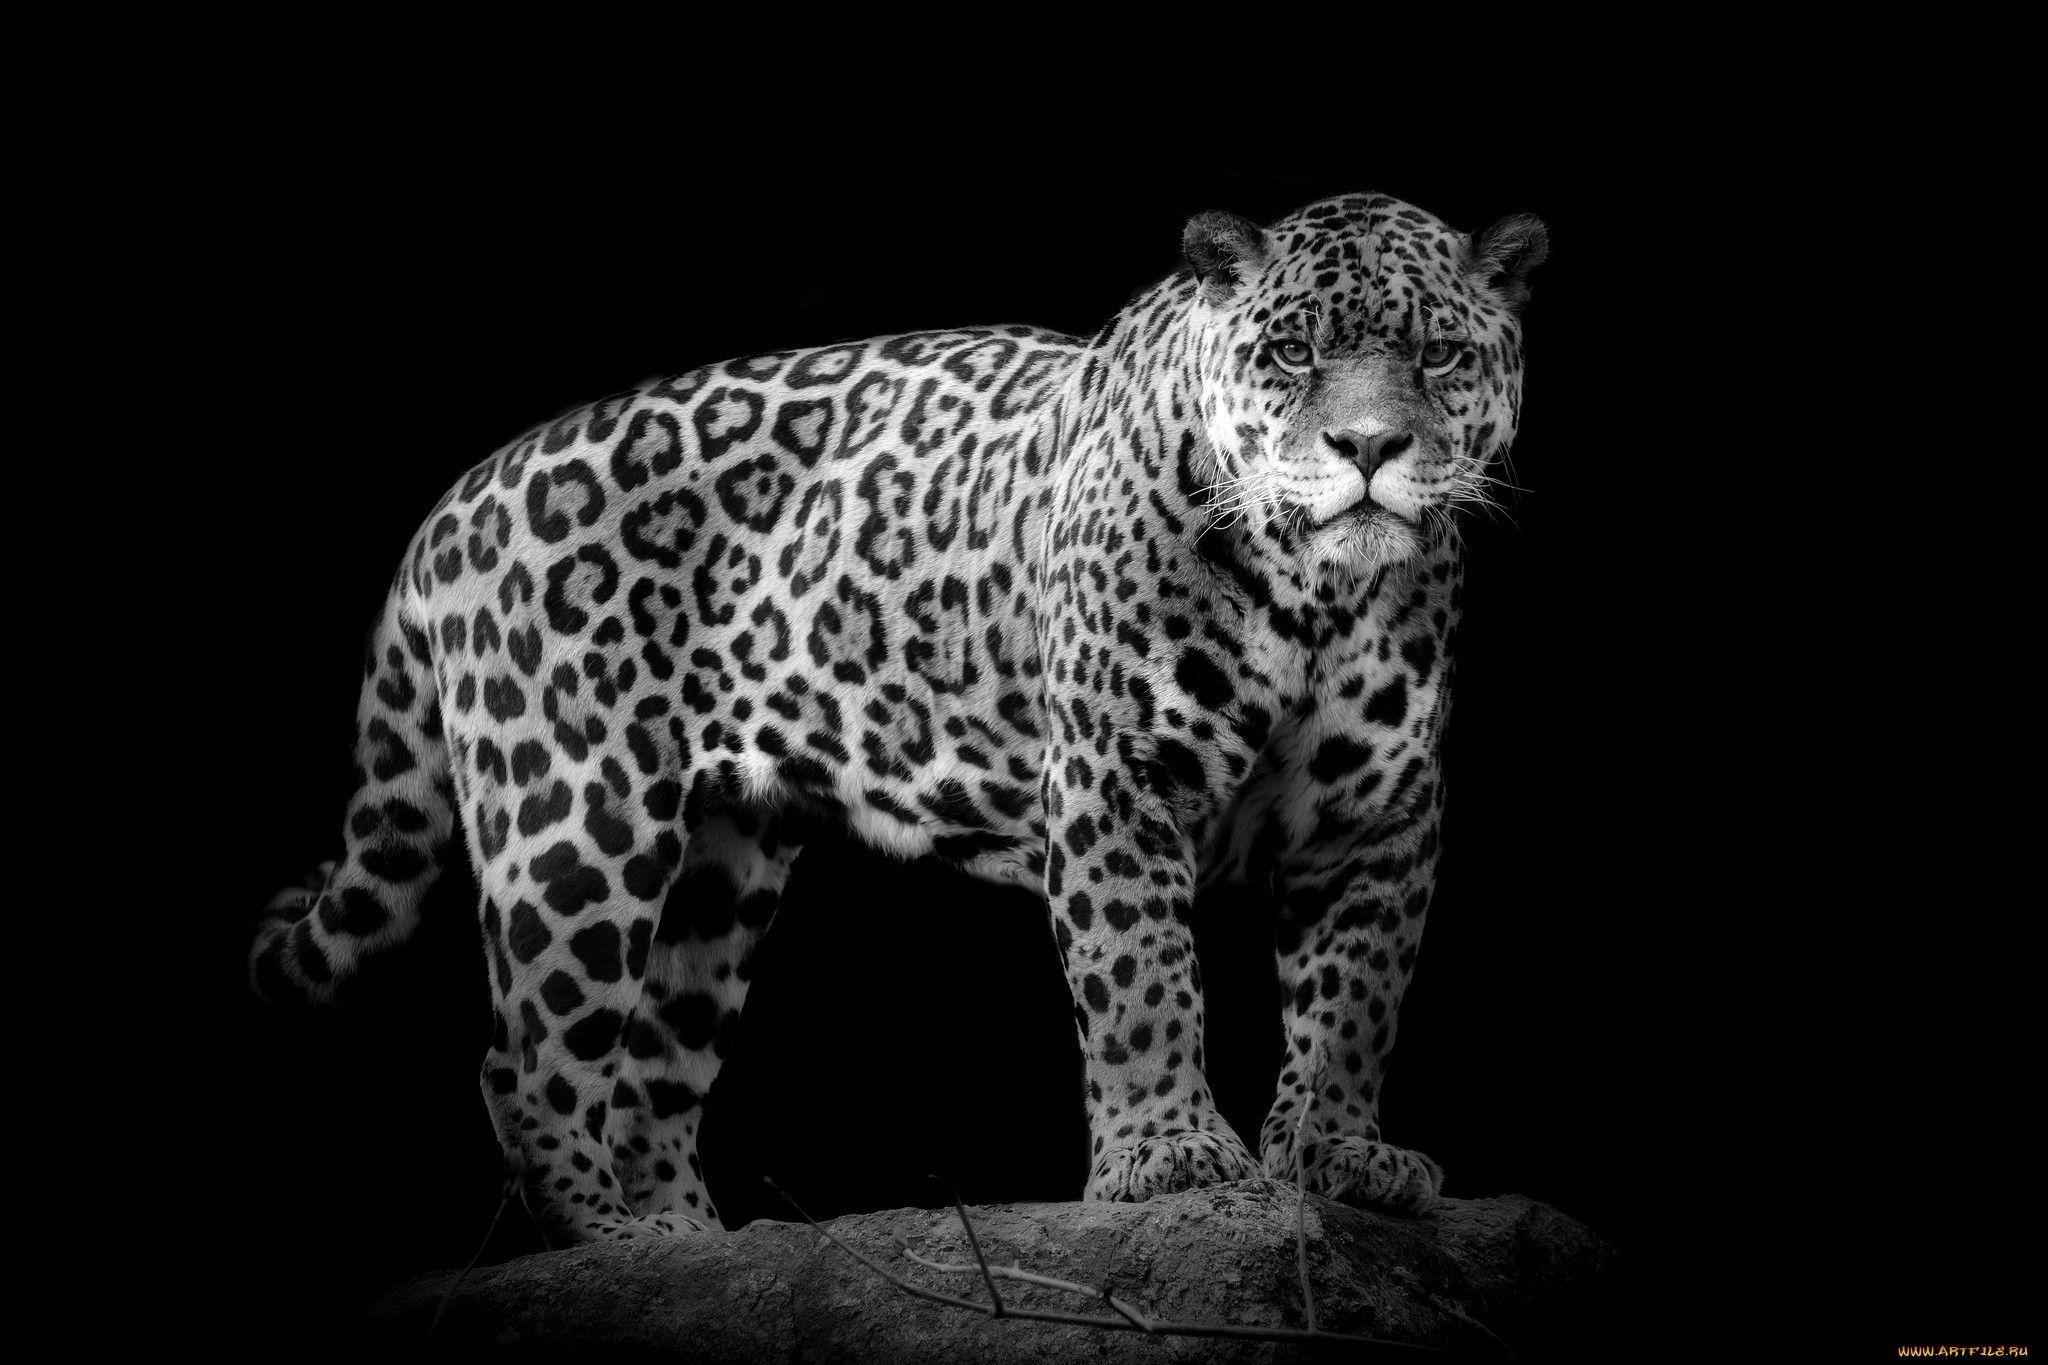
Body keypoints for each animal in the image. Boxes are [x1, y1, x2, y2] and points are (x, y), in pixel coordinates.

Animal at [250, 191, 1548, 1245]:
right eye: (1290, 351)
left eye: (1437, 354)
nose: (1367, 447)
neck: (1316, 593)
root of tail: (455, 500)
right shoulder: (1114, 778)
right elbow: (1140, 977)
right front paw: (1171, 1158)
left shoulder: (1377, 814)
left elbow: (1354, 1000)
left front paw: (1336, 1156)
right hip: (575, 825)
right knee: (525, 1062)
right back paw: (608, 1244)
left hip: (720, 871)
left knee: (649, 1078)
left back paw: (690, 1248)